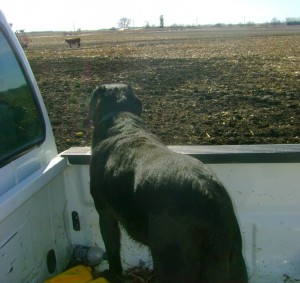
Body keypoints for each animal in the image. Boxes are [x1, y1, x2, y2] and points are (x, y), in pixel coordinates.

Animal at [89, 84, 248, 283]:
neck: (121, 116)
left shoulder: (104, 212)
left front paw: (112, 275)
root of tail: (208, 195)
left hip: (171, 258)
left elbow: (112, 251)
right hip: (234, 262)